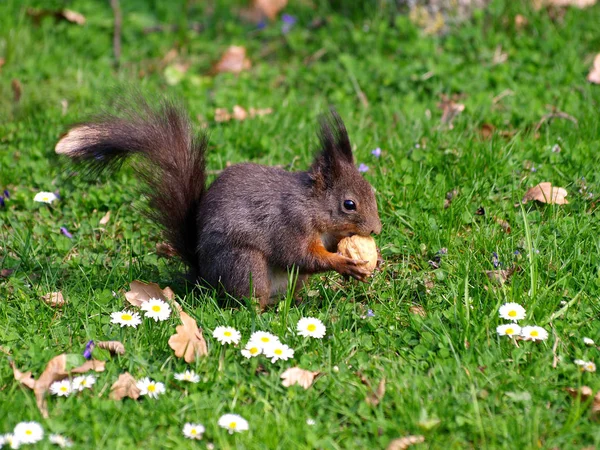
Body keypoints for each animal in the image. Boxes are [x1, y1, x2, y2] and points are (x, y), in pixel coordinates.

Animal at [57, 100, 384, 308]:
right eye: (349, 204)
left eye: (371, 191)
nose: (376, 230)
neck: (312, 205)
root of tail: (204, 277)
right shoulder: (290, 223)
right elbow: (299, 255)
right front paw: (345, 264)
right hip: (244, 264)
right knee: (249, 300)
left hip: (287, 281)